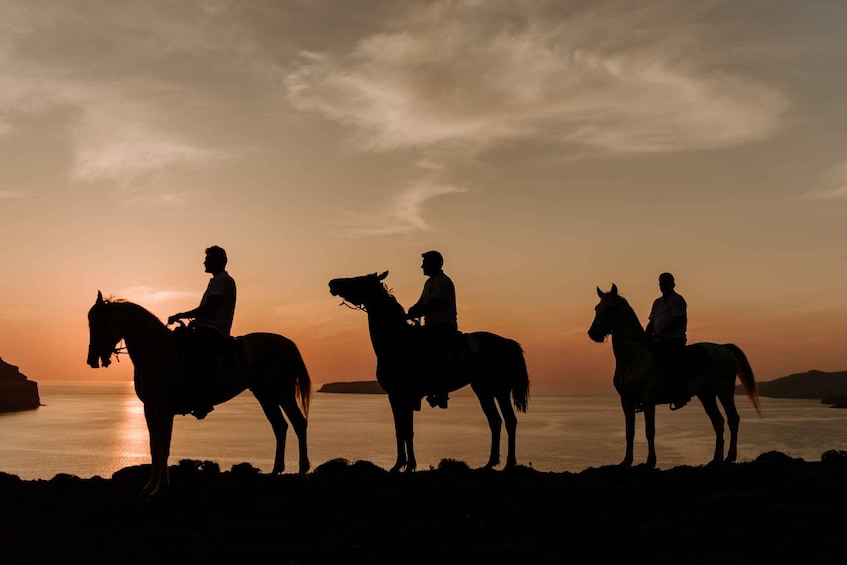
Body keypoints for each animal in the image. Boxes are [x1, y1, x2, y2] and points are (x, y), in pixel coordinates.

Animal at [87, 294, 312, 496]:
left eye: (97, 324)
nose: (91, 359)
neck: (155, 351)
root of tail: (288, 344)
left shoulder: (164, 409)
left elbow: (164, 447)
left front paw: (161, 488)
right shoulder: (149, 409)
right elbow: (154, 447)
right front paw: (149, 486)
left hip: (283, 394)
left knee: (298, 423)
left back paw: (302, 471)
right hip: (265, 395)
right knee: (280, 427)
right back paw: (275, 473)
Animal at [328, 270, 528, 470]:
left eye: (359, 280)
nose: (333, 282)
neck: (396, 340)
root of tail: (508, 343)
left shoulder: (401, 394)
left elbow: (405, 431)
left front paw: (405, 465)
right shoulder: (398, 396)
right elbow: (402, 431)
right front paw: (403, 464)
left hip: (494, 389)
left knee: (506, 421)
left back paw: (507, 463)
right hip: (488, 390)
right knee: (499, 421)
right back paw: (492, 463)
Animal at [588, 286, 760, 468]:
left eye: (609, 308)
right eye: (597, 308)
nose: (593, 333)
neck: (634, 356)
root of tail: (725, 348)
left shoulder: (648, 399)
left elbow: (650, 431)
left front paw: (650, 461)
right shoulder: (626, 400)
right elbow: (630, 432)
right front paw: (626, 460)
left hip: (724, 391)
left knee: (733, 419)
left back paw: (730, 457)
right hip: (706, 395)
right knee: (718, 422)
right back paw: (716, 459)